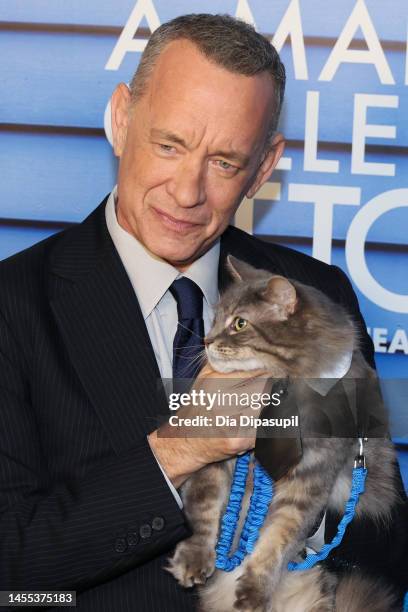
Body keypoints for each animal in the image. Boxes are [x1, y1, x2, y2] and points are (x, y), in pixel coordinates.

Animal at [167, 256, 402, 608]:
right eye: (215, 319)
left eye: (240, 324)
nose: (207, 342)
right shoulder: (213, 458)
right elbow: (203, 509)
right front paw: (195, 558)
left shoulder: (309, 479)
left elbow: (277, 539)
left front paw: (254, 591)